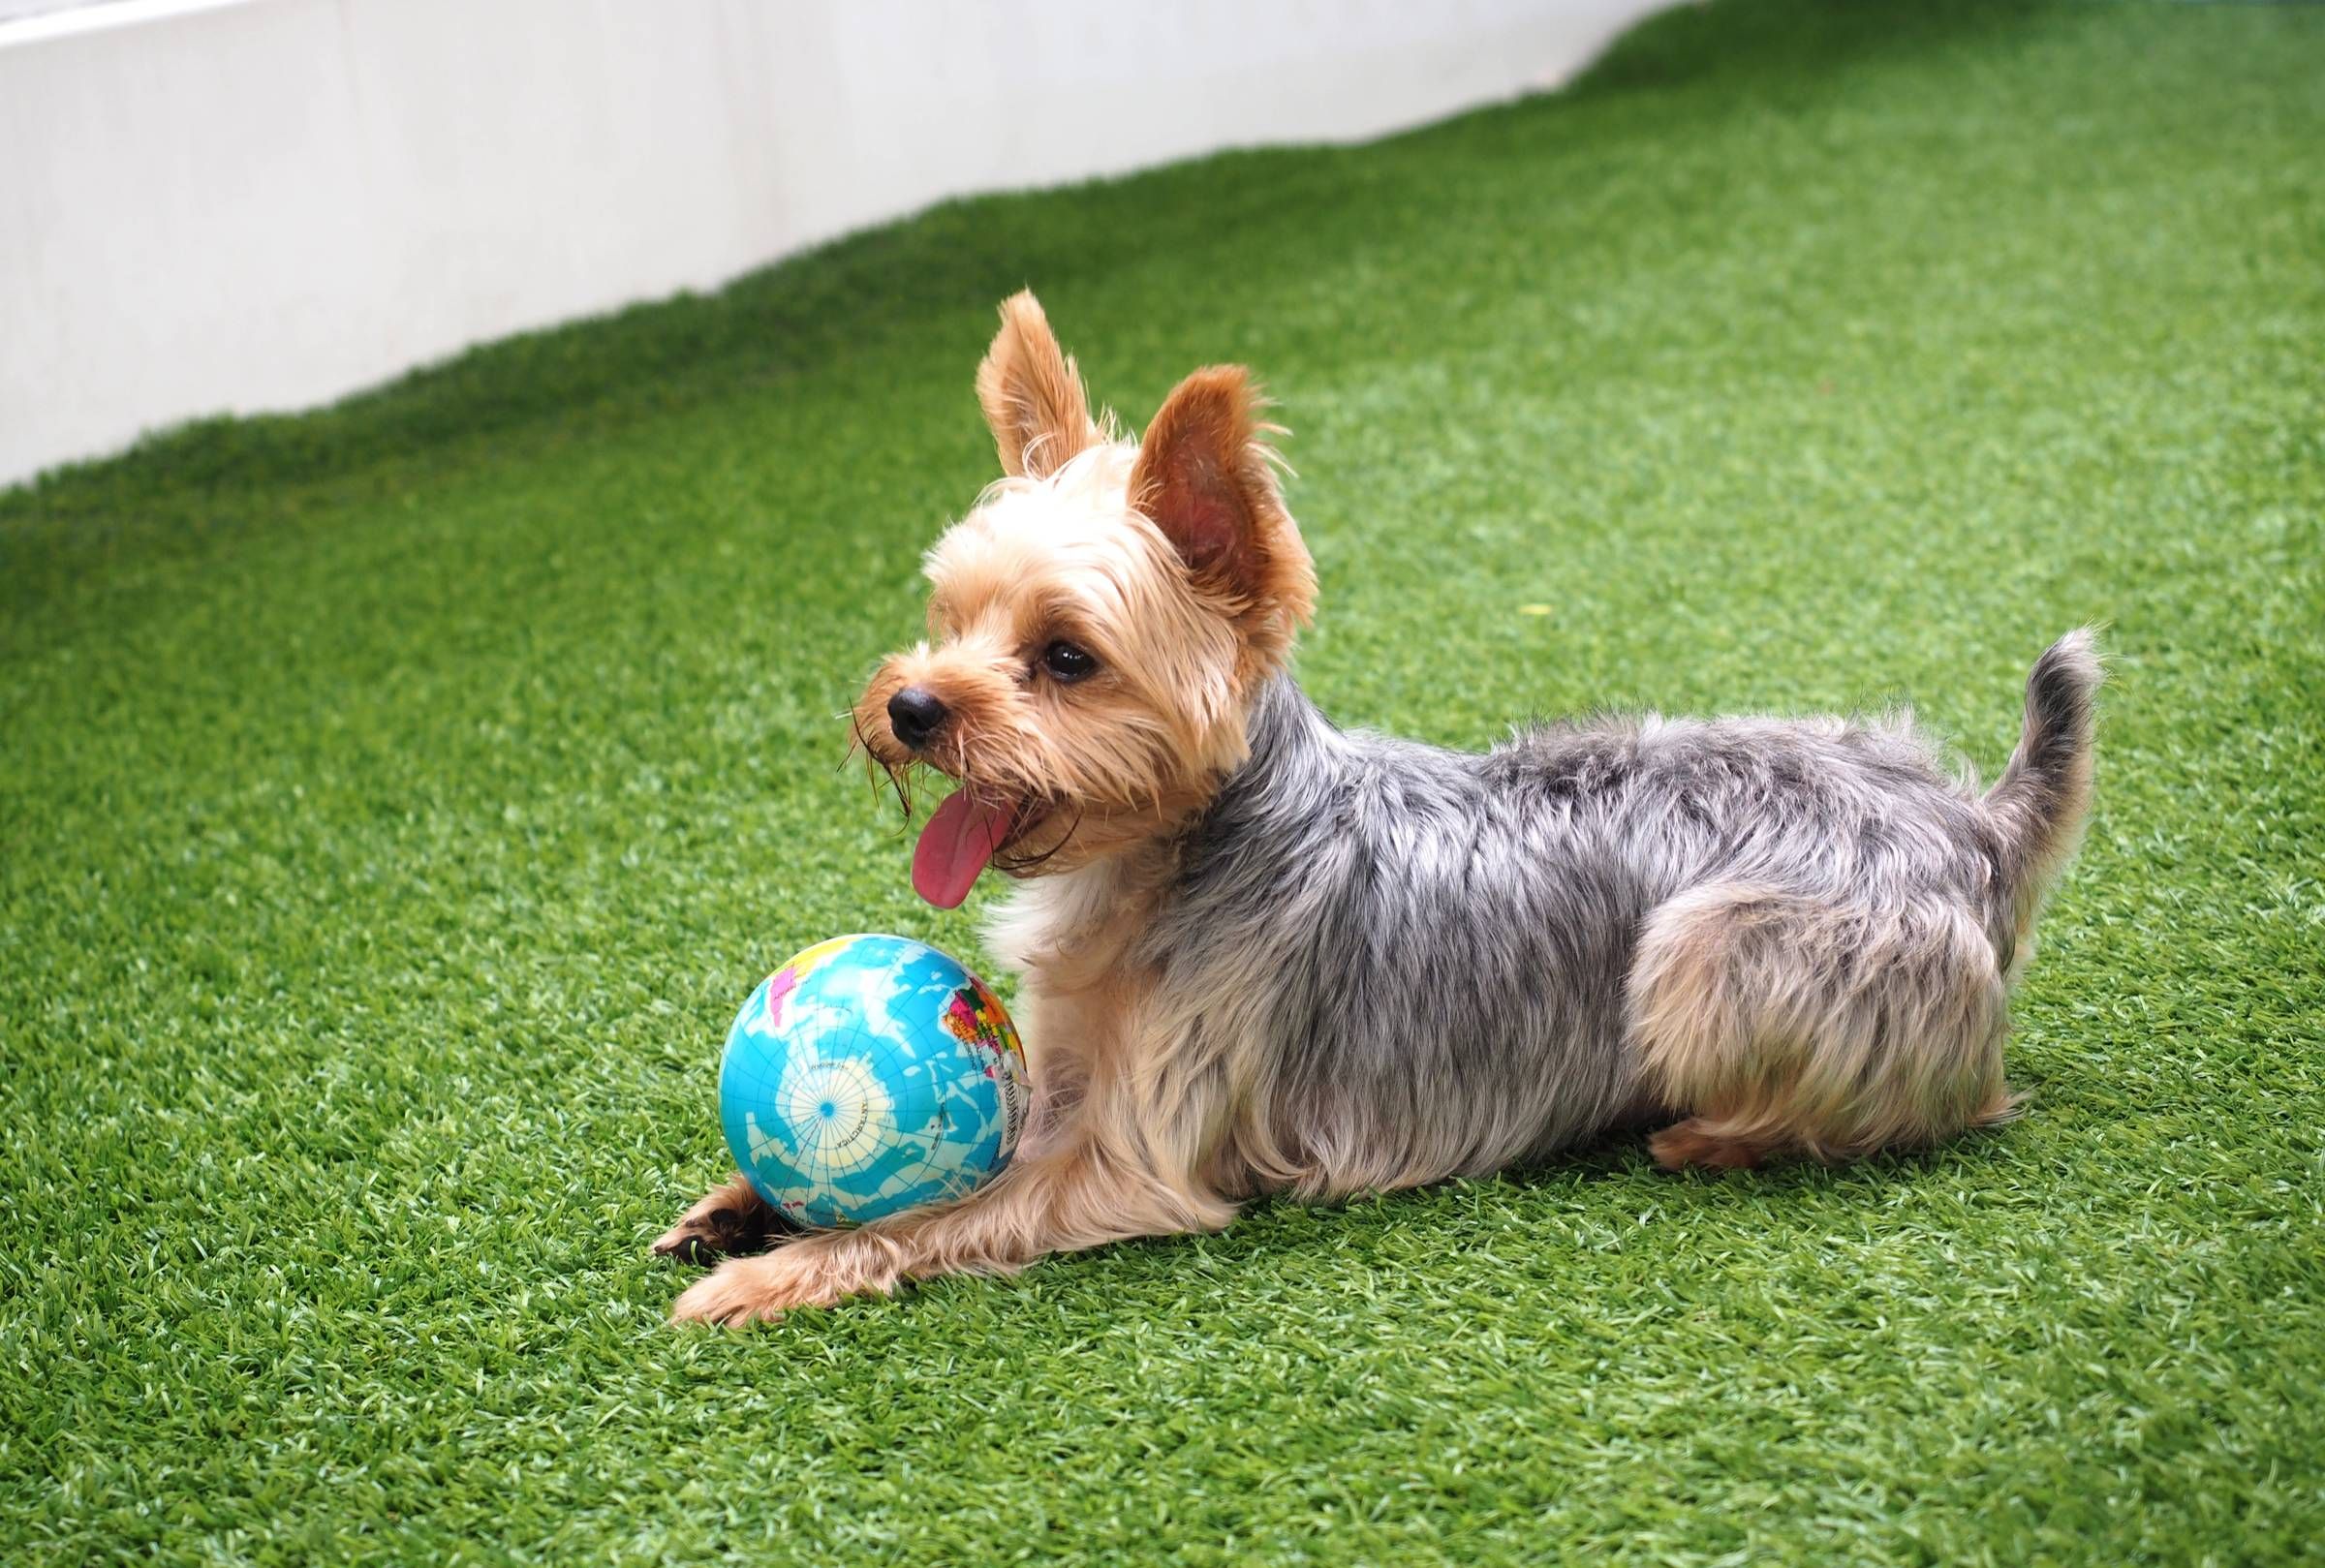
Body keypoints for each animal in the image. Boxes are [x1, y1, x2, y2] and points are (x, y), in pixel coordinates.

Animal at [660, 294, 2111, 1328]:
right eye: (948, 617)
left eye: (1066, 656)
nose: (909, 705)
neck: (1168, 856)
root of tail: (1977, 824)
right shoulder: (1058, 1071)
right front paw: (737, 1204)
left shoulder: (1129, 1158)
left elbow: (921, 1219)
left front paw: (778, 1266)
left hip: (1701, 953)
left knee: (1943, 1105)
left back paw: (1715, 1133)